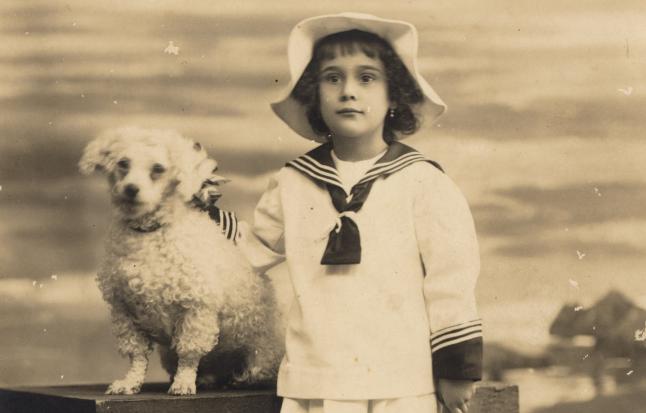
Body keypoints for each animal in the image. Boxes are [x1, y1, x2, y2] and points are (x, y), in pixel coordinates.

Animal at [78, 127, 284, 394]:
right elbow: (137, 355)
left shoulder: (196, 310)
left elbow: (189, 353)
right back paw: (208, 378)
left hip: (260, 354)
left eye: (158, 168)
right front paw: (130, 382)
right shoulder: (125, 312)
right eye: (123, 164)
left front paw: (184, 382)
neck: (150, 232)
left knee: (253, 370)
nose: (131, 189)